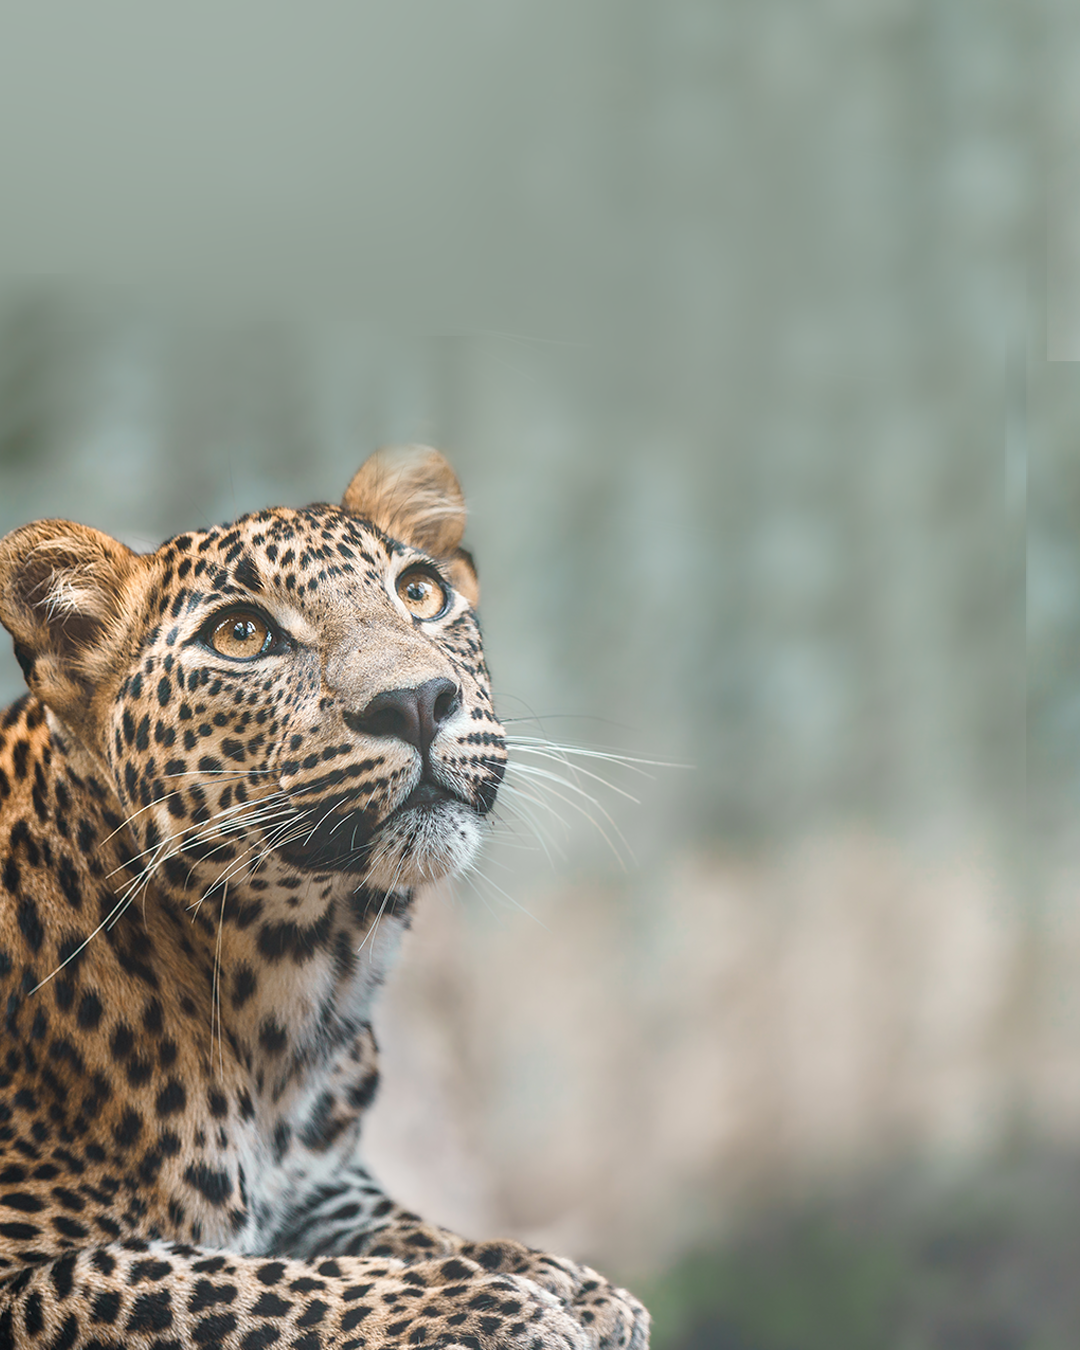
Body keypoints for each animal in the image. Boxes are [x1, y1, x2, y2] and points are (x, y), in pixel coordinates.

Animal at [0, 446, 650, 1350]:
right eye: (242, 635)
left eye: (421, 591)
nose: (417, 702)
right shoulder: (32, 1272)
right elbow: (233, 1281)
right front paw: (490, 1305)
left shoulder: (327, 1184)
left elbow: (409, 1231)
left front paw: (563, 1281)